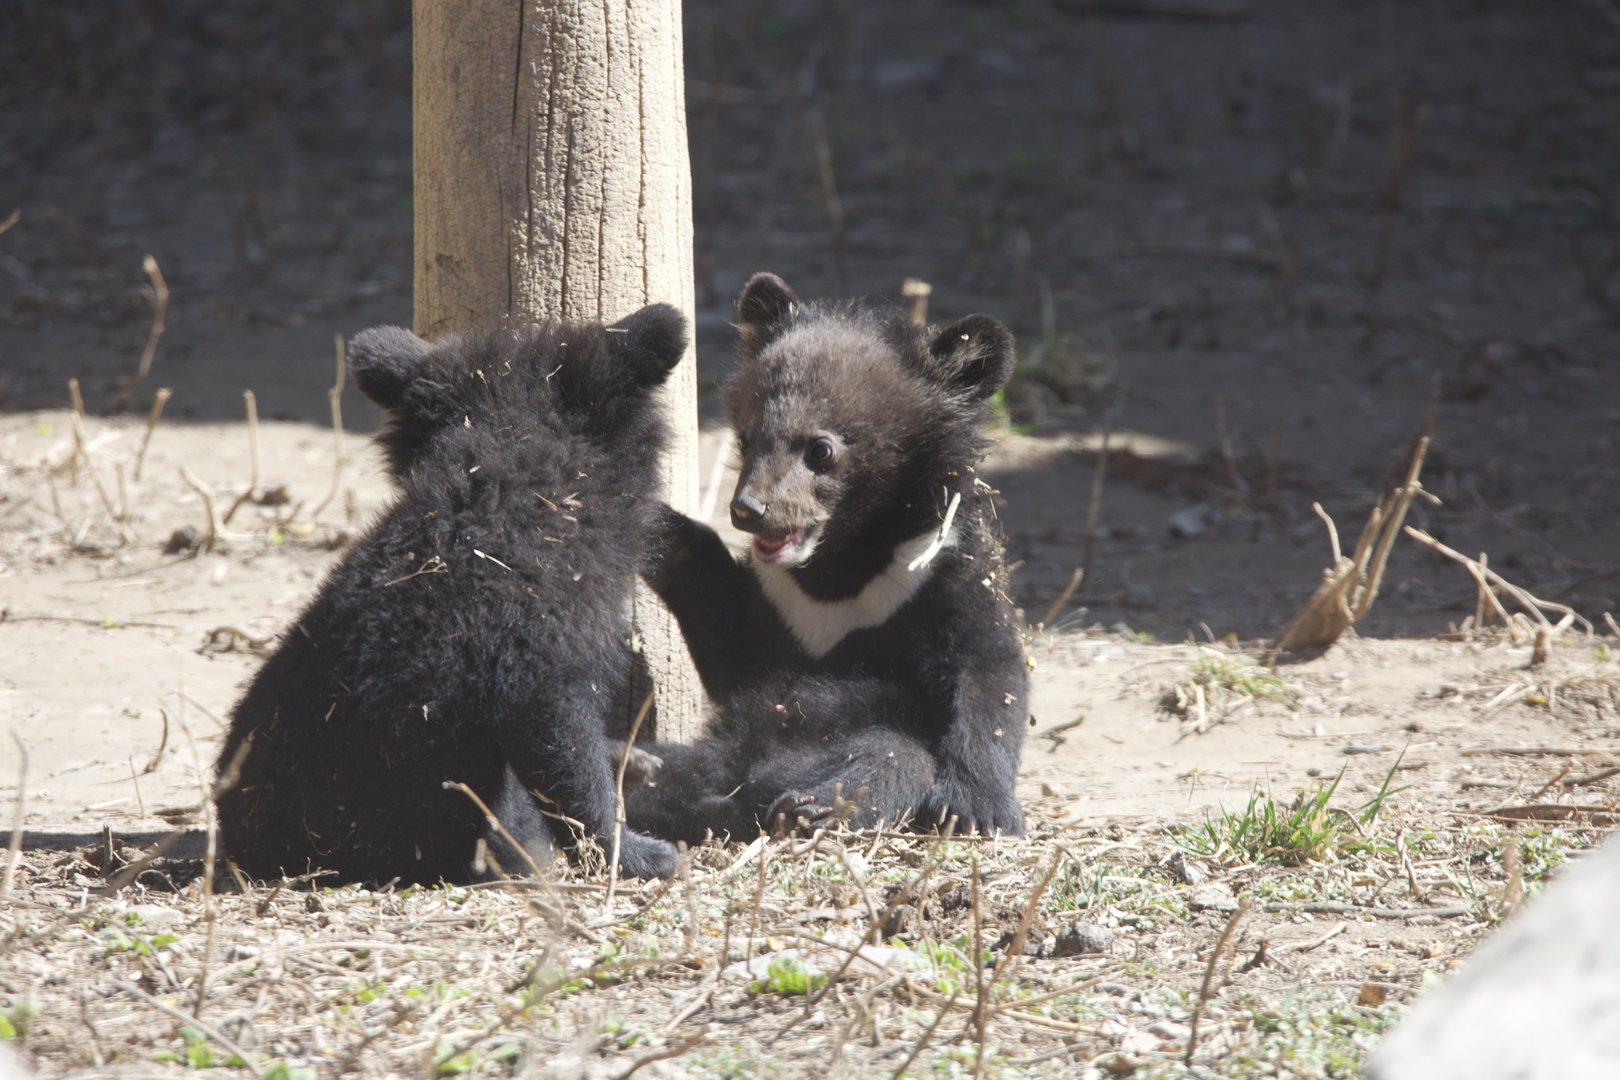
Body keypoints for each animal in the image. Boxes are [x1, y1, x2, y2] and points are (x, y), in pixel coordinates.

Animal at [622, 273, 1028, 844]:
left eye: (820, 449)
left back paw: (805, 806)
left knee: (892, 754)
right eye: (746, 438)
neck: (840, 569)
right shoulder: (778, 609)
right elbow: (729, 642)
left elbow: (991, 671)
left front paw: (976, 809)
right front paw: (651, 523)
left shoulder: (938, 571)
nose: (748, 510)